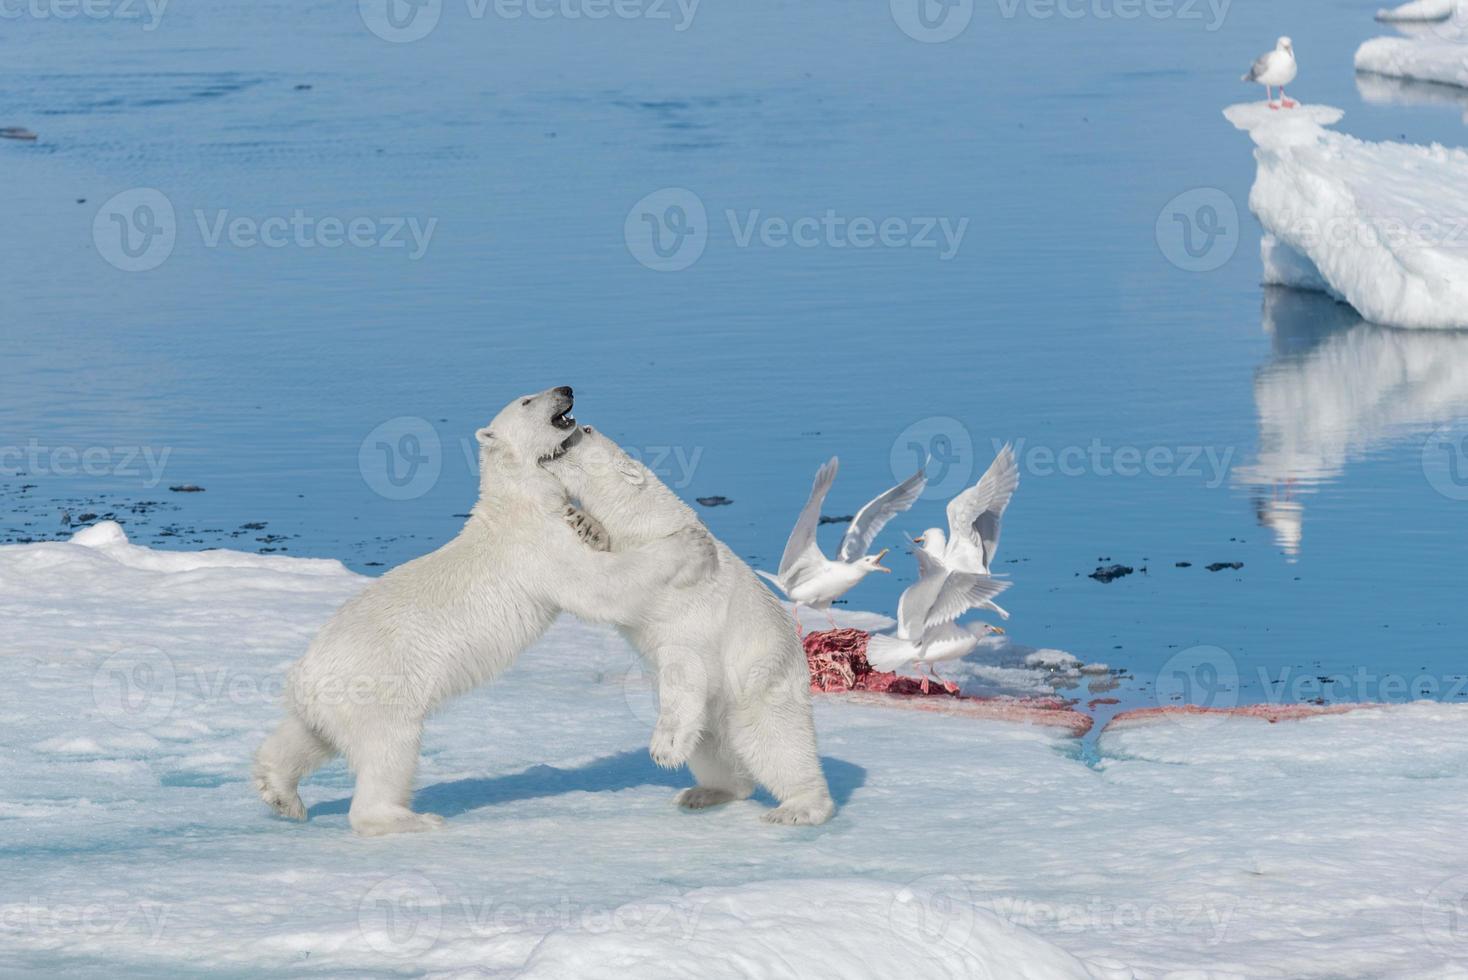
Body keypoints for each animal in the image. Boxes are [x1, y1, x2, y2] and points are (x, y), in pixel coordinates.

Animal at [258, 387, 716, 839]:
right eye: (529, 401)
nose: (565, 389)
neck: (521, 498)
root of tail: (306, 671)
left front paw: (591, 526)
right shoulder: (537, 545)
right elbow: (597, 585)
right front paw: (689, 544)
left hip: (329, 701)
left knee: (306, 736)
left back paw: (280, 792)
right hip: (380, 686)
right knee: (389, 749)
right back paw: (409, 818)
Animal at [546, 425, 833, 821]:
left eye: (586, 431)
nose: (574, 424)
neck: (648, 521)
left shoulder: (683, 596)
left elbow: (671, 648)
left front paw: (663, 748)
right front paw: (585, 524)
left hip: (760, 684)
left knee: (776, 741)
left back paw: (797, 808)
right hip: (714, 715)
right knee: (712, 748)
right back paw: (703, 792)